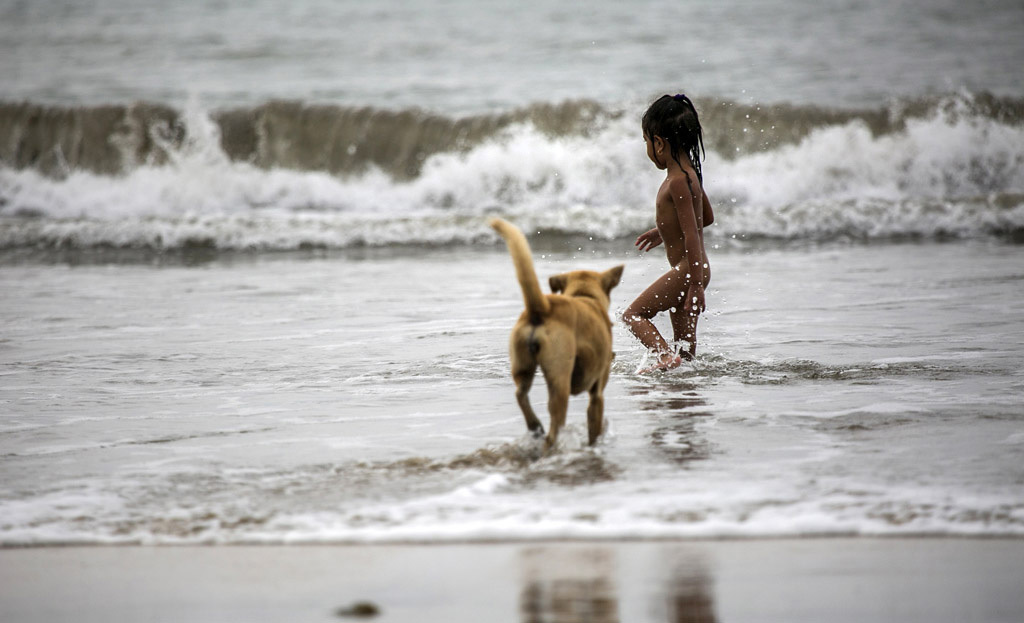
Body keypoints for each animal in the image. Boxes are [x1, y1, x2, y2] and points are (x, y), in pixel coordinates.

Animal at [489, 216, 622, 444]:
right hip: (560, 377)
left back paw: (534, 425)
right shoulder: (597, 392)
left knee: (520, 393)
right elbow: (594, 426)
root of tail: (541, 308)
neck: (584, 295)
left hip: (522, 363)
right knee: (555, 422)